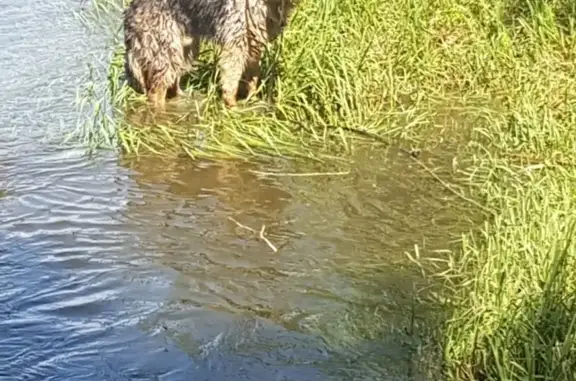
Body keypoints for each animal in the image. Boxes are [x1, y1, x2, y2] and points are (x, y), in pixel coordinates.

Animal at [123, 0, 294, 108]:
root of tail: (130, 10)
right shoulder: (235, 43)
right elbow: (231, 85)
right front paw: (233, 108)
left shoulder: (253, 43)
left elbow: (253, 79)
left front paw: (252, 100)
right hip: (166, 48)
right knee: (156, 92)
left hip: (186, 49)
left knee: (172, 84)